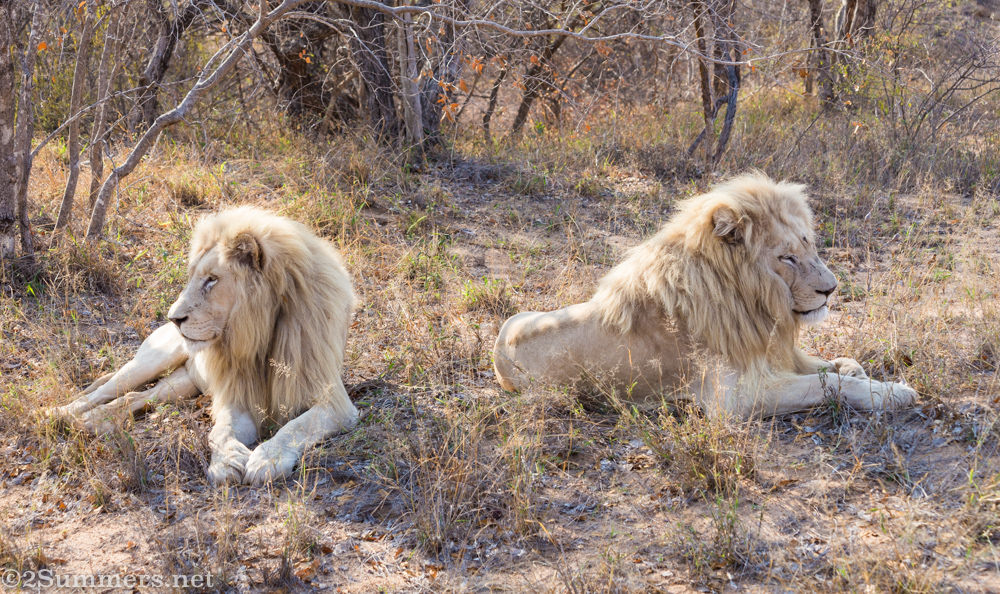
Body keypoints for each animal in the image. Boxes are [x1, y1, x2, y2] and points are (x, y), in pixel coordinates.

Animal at [49, 207, 359, 485]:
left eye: (212, 280)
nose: (174, 318)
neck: (258, 334)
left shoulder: (334, 402)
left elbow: (296, 426)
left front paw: (266, 460)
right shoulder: (237, 397)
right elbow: (221, 431)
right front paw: (226, 462)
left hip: (182, 384)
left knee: (133, 398)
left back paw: (94, 423)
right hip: (151, 361)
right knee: (102, 391)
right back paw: (59, 414)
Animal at [493, 173, 916, 418]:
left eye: (808, 242)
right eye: (786, 257)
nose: (831, 290)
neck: (748, 300)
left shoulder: (766, 353)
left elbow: (828, 369)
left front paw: (850, 366)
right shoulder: (733, 399)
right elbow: (828, 385)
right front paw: (893, 392)